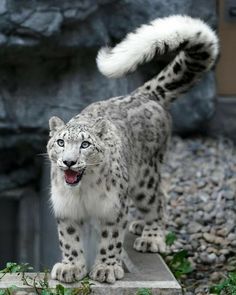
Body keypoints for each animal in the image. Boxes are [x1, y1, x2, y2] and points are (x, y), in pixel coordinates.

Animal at [47, 15, 218, 284]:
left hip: (145, 178)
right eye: (61, 143)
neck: (82, 192)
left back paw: (151, 237)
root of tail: (142, 94)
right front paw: (70, 267)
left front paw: (105, 269)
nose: (69, 162)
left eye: (85, 144)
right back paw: (139, 225)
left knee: (157, 199)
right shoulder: (66, 209)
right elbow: (70, 239)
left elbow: (110, 240)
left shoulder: (113, 208)